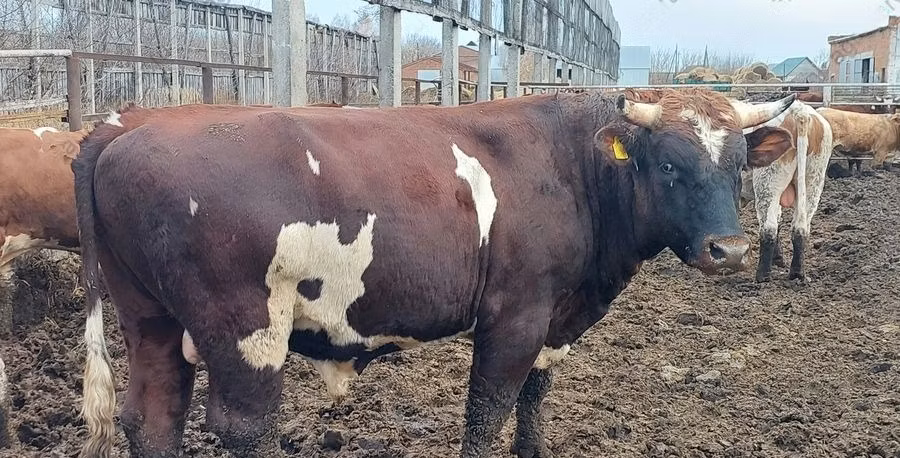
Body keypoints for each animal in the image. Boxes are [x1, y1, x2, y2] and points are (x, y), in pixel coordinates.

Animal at [72, 90, 795, 458]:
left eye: (738, 166)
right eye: (668, 165)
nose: (728, 249)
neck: (573, 167)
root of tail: (124, 125)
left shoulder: (556, 322)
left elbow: (533, 406)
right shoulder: (515, 315)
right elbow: (488, 413)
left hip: (150, 317)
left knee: (152, 417)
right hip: (244, 327)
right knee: (245, 427)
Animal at [741, 102, 834, 282]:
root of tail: (799, 111)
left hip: (768, 180)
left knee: (769, 227)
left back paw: (762, 276)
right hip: (814, 180)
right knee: (800, 227)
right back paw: (797, 273)